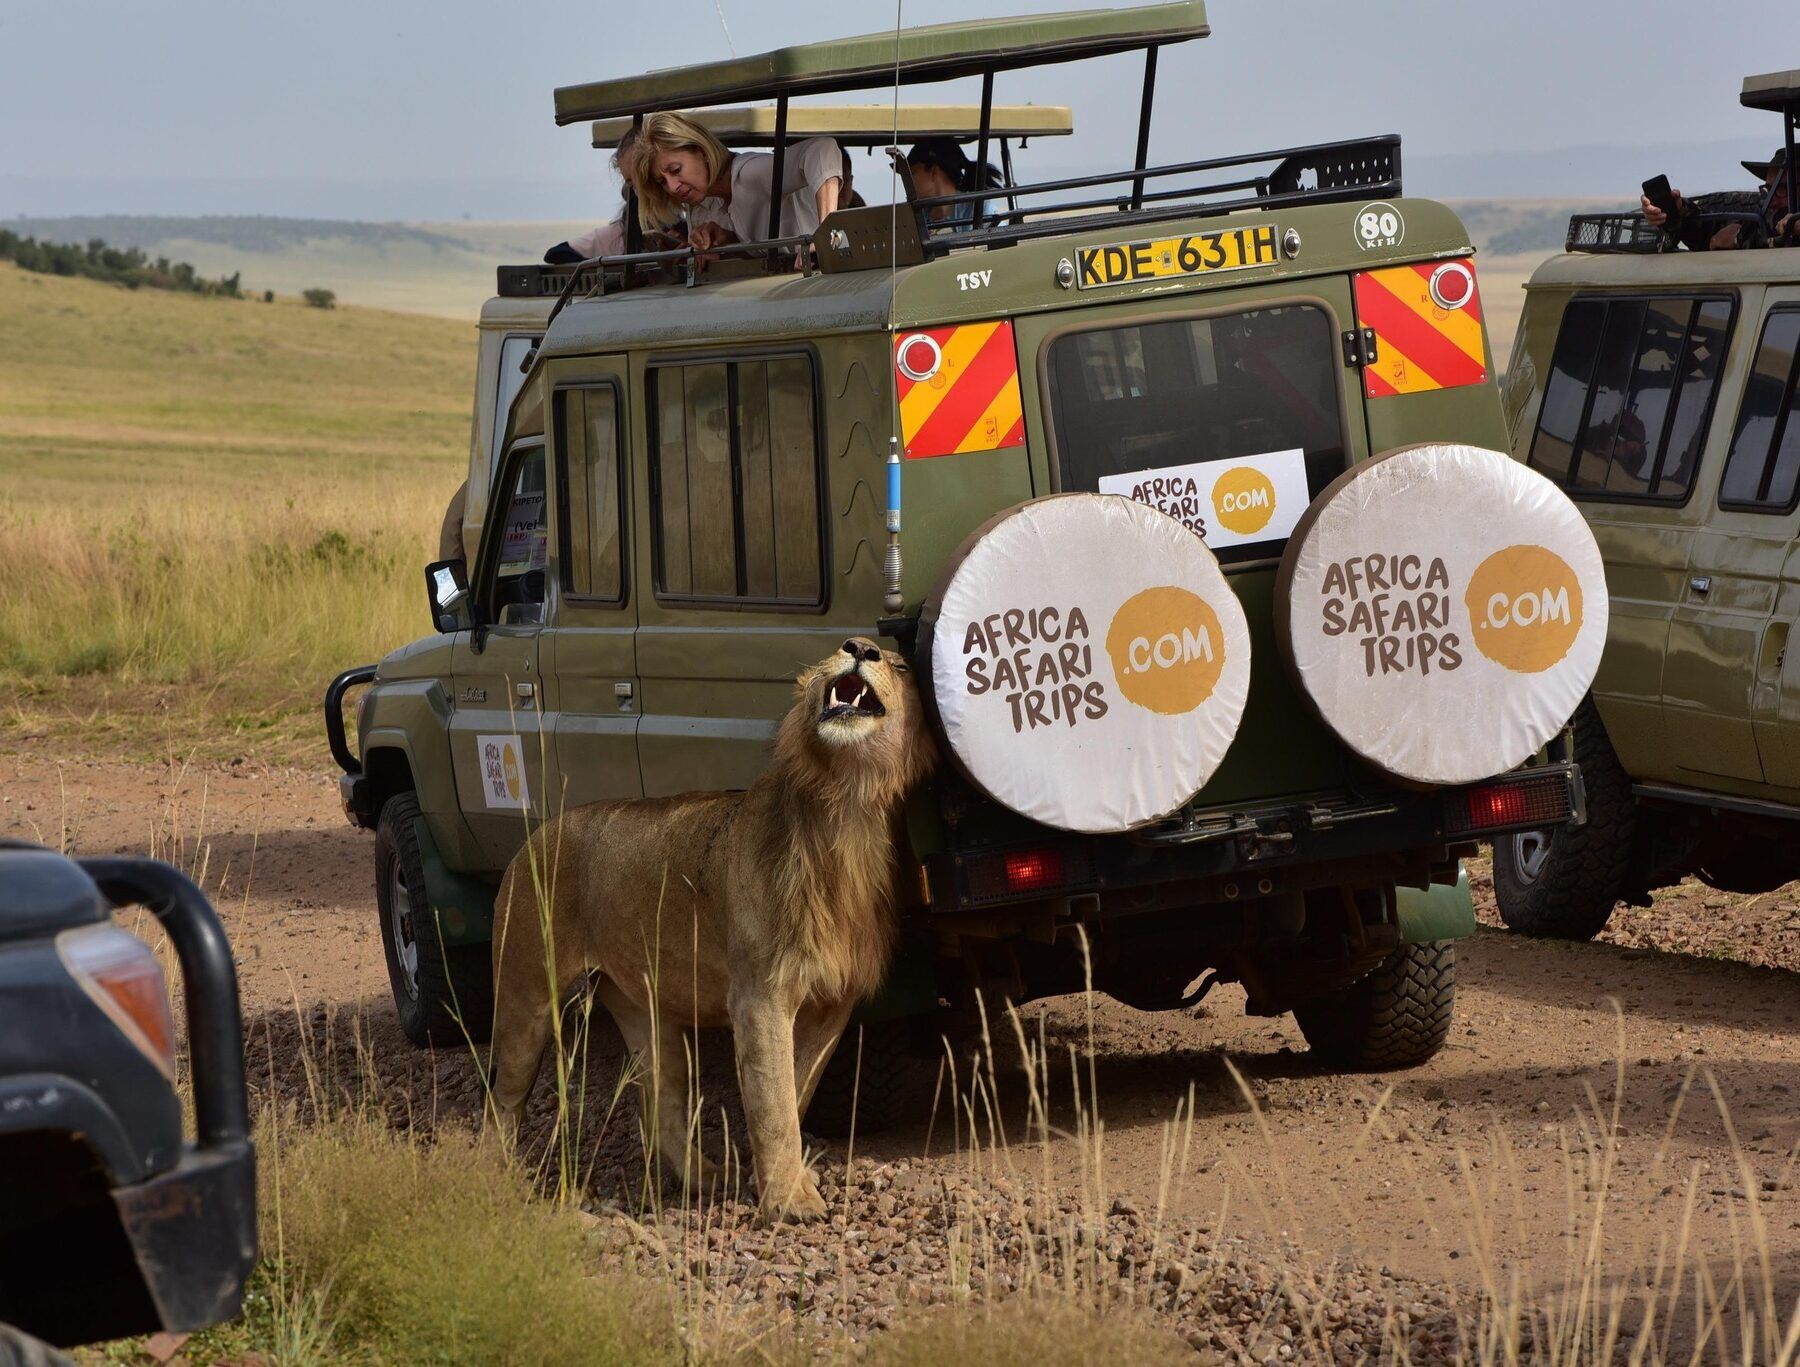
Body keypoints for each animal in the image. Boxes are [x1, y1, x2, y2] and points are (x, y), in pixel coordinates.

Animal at [487, 637, 936, 1221]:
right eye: (837, 653)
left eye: (900, 665)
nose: (858, 647)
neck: (847, 806)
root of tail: (532, 837)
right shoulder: (759, 995)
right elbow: (774, 1105)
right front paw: (789, 1202)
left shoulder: (832, 1004)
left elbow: (795, 1090)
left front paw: (780, 1182)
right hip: (526, 998)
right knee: (503, 1101)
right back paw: (494, 1183)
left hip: (649, 1017)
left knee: (660, 1109)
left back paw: (706, 1179)